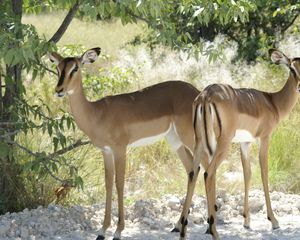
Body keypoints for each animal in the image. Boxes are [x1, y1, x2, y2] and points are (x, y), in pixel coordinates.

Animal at [48, 47, 202, 239]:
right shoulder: (106, 151)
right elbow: (108, 183)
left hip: (191, 137)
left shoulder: (120, 149)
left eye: (75, 68)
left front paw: (118, 230)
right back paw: (177, 225)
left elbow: (119, 184)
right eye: (58, 68)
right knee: (191, 169)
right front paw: (102, 230)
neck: (97, 113)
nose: (59, 90)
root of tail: (197, 93)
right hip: (175, 141)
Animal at [178, 47, 300, 239]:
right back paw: (213, 231)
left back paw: (184, 230)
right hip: (223, 144)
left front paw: (246, 220)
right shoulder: (264, 139)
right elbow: (264, 173)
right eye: (292, 69)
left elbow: (247, 174)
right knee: (208, 173)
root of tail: (205, 96)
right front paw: (273, 221)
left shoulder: (245, 143)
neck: (272, 102)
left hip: (199, 143)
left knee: (193, 172)